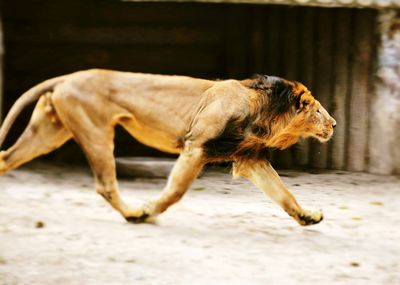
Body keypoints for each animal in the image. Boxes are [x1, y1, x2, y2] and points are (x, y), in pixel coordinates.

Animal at [0, 69, 336, 224]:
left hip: (49, 132)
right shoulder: (196, 146)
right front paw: (150, 209)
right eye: (318, 110)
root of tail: (67, 76)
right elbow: (175, 191)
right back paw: (135, 214)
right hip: (96, 132)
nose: (334, 124)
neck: (264, 111)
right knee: (106, 185)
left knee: (5, 158)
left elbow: (284, 194)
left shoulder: (250, 158)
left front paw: (307, 216)